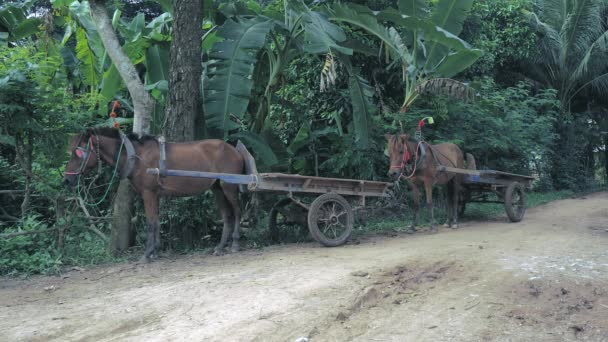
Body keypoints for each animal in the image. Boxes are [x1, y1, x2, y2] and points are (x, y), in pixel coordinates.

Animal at [64, 127, 245, 260]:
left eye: (78, 153)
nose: (66, 179)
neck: (137, 156)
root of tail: (235, 151)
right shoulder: (155, 195)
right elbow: (156, 222)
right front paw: (155, 250)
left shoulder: (148, 193)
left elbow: (150, 223)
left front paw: (147, 253)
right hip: (218, 188)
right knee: (227, 215)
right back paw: (220, 247)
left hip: (229, 186)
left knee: (237, 211)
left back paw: (235, 243)